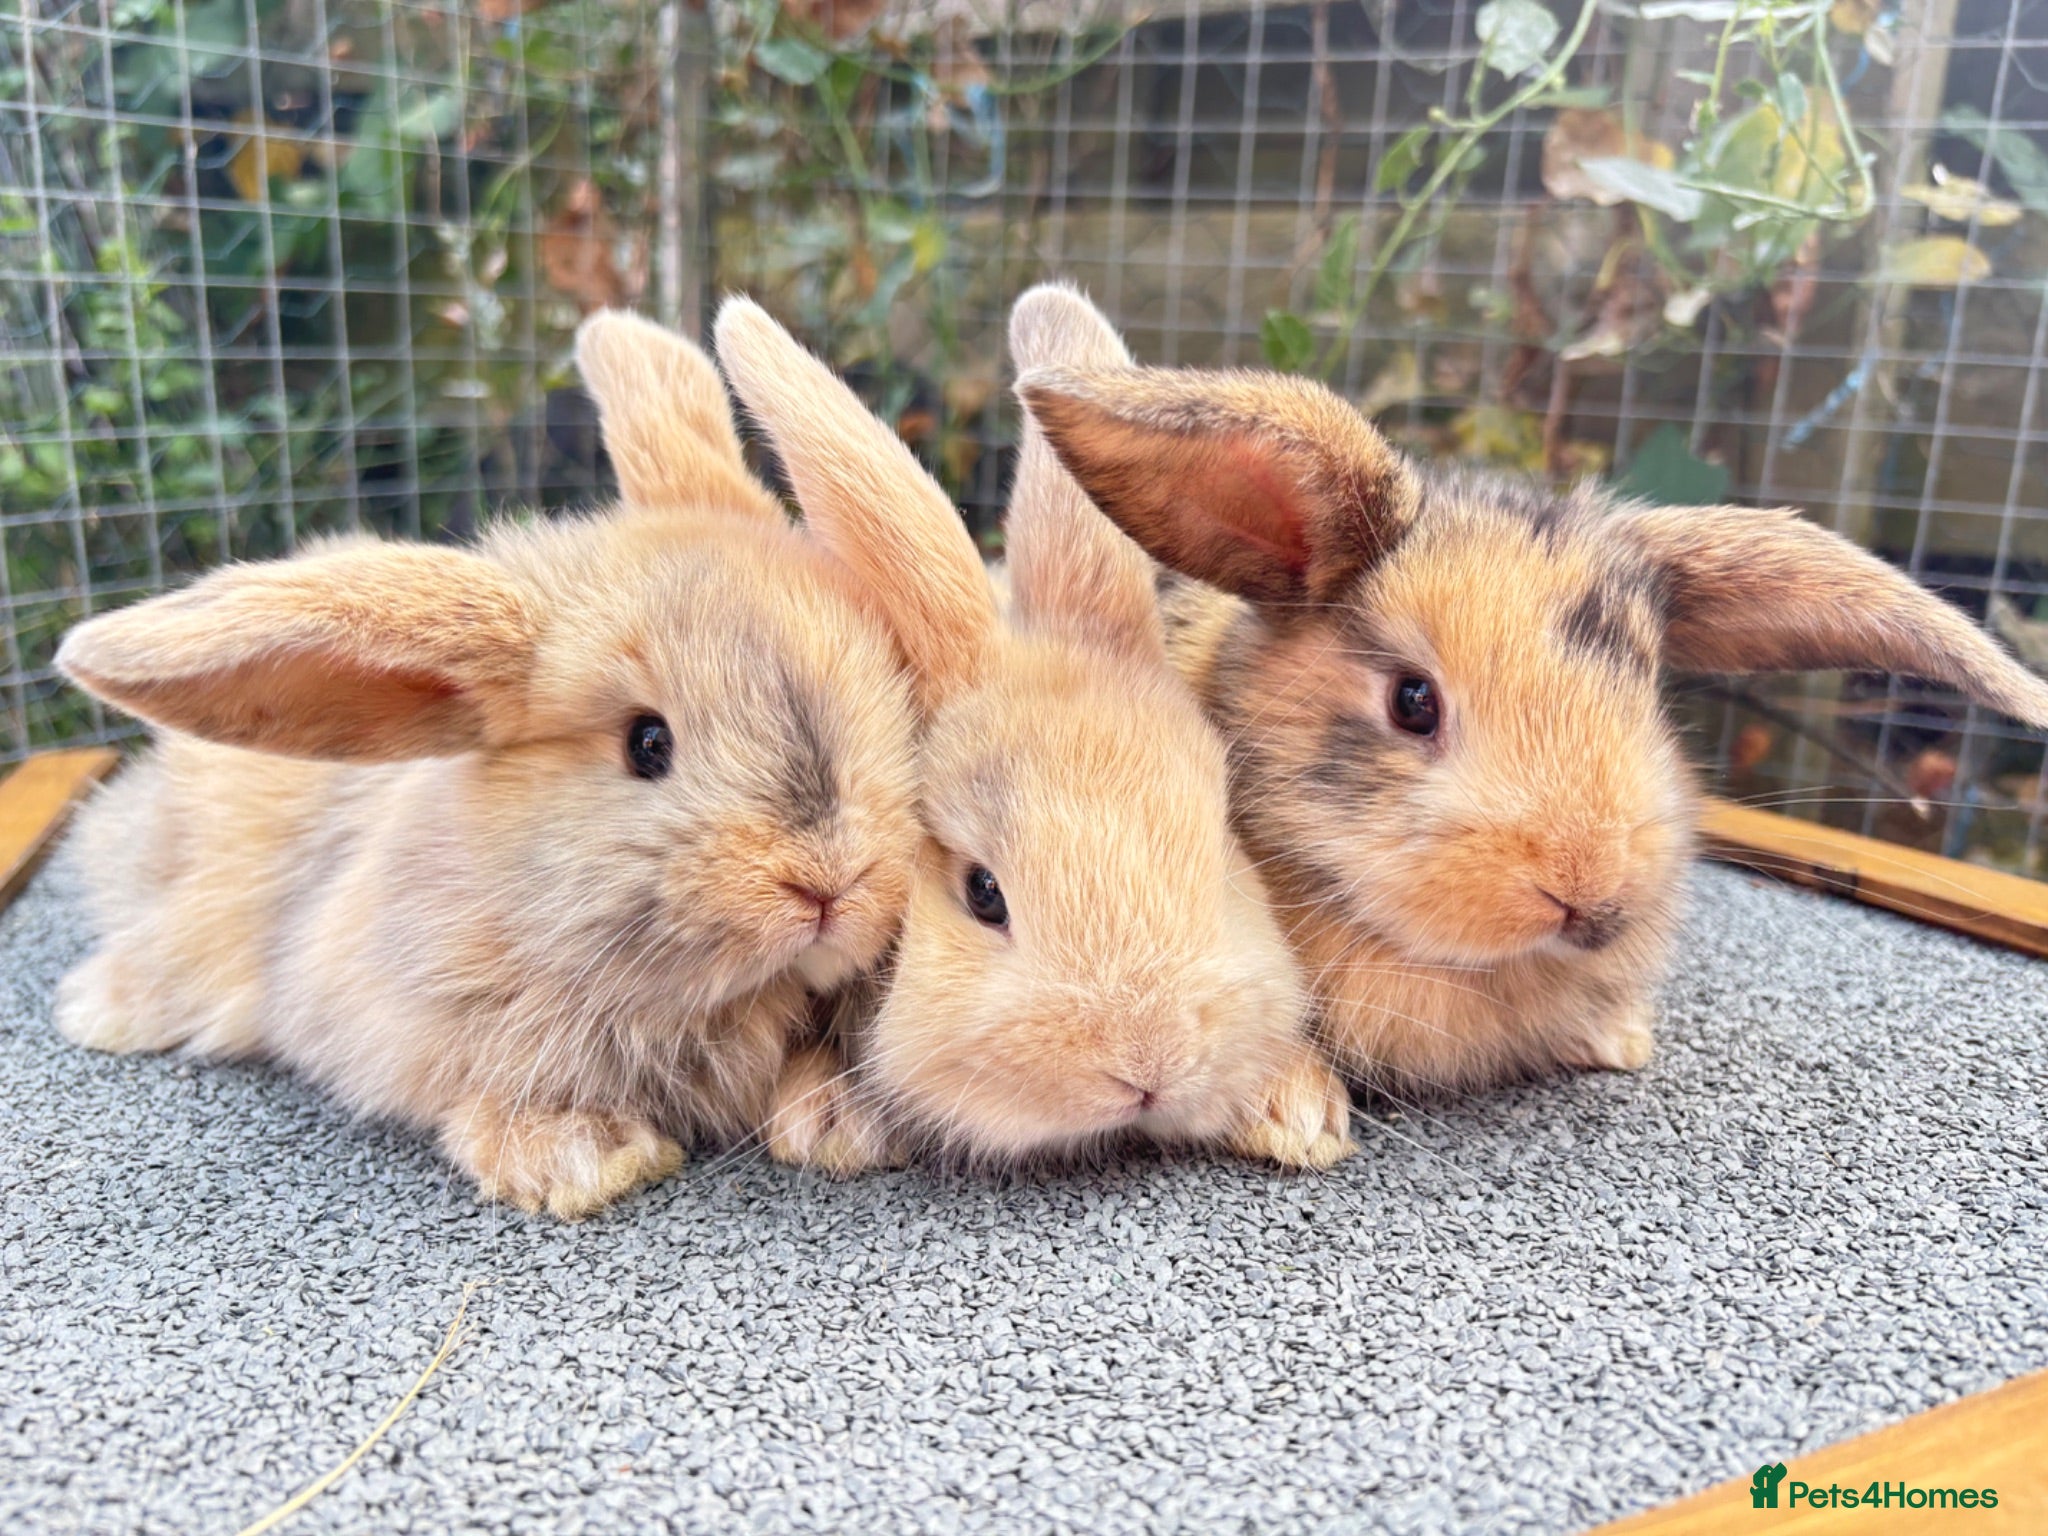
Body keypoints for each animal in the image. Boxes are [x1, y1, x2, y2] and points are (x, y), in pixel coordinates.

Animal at [50, 310, 922, 1218]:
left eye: (888, 682)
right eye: (647, 744)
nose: (828, 883)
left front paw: (843, 1125)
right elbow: (478, 1094)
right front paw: (583, 1157)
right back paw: (96, 1009)